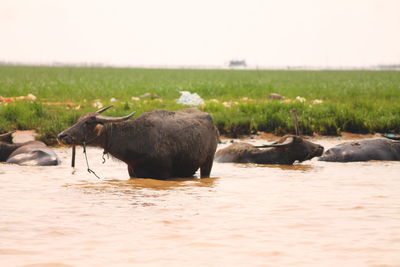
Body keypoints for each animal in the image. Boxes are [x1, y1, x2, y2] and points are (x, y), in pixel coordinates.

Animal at [57, 105, 219, 179]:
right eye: (79, 120)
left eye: (87, 123)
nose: (61, 136)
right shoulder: (133, 173)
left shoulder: (164, 174)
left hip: (208, 162)